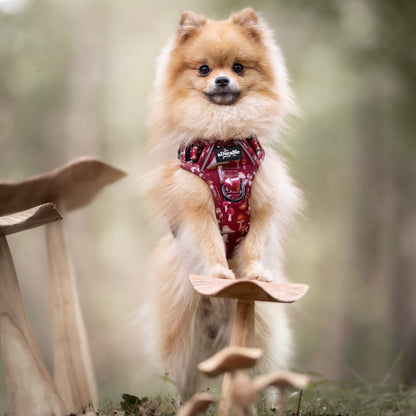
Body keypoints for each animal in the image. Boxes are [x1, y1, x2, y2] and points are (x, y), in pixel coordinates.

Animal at [145, 8, 300, 400]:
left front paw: (255, 273)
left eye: (238, 67)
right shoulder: (197, 208)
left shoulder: (263, 203)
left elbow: (255, 246)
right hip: (183, 333)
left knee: (263, 373)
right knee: (182, 380)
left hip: (260, 328)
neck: (225, 148)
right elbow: (212, 244)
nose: (222, 79)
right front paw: (218, 274)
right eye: (203, 69)